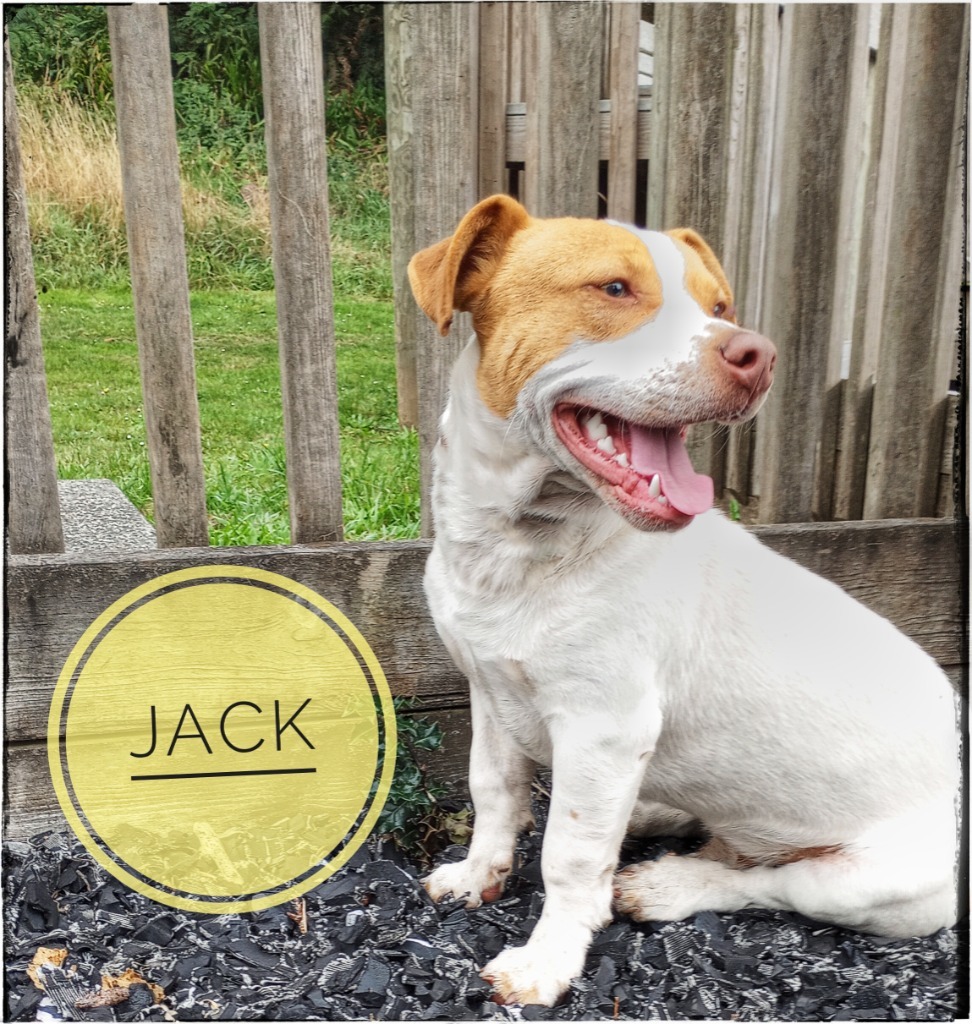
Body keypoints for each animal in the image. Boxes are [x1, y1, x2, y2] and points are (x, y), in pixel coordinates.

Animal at [403, 195, 954, 1003]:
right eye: (613, 289)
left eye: (719, 306)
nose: (758, 353)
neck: (522, 552)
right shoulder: (489, 692)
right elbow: (494, 793)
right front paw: (479, 874)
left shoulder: (603, 727)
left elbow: (570, 856)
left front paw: (548, 960)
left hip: (875, 886)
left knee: (765, 882)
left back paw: (670, 886)